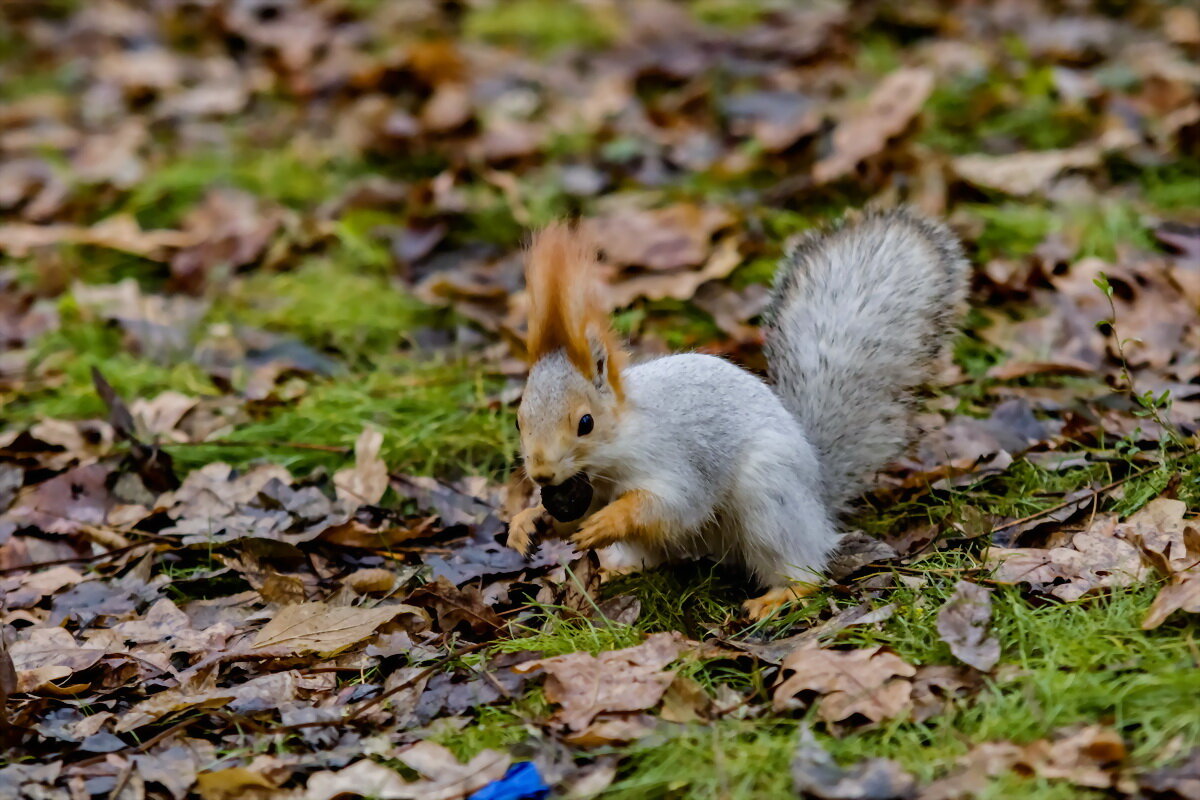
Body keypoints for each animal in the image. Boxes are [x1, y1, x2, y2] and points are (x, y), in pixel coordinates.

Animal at [504, 206, 964, 618]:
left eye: (586, 423)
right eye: (519, 420)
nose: (542, 474)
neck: (606, 462)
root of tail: (817, 491)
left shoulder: (673, 458)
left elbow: (673, 504)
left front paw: (610, 519)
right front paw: (528, 521)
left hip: (769, 498)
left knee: (806, 568)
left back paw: (781, 595)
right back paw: (621, 571)